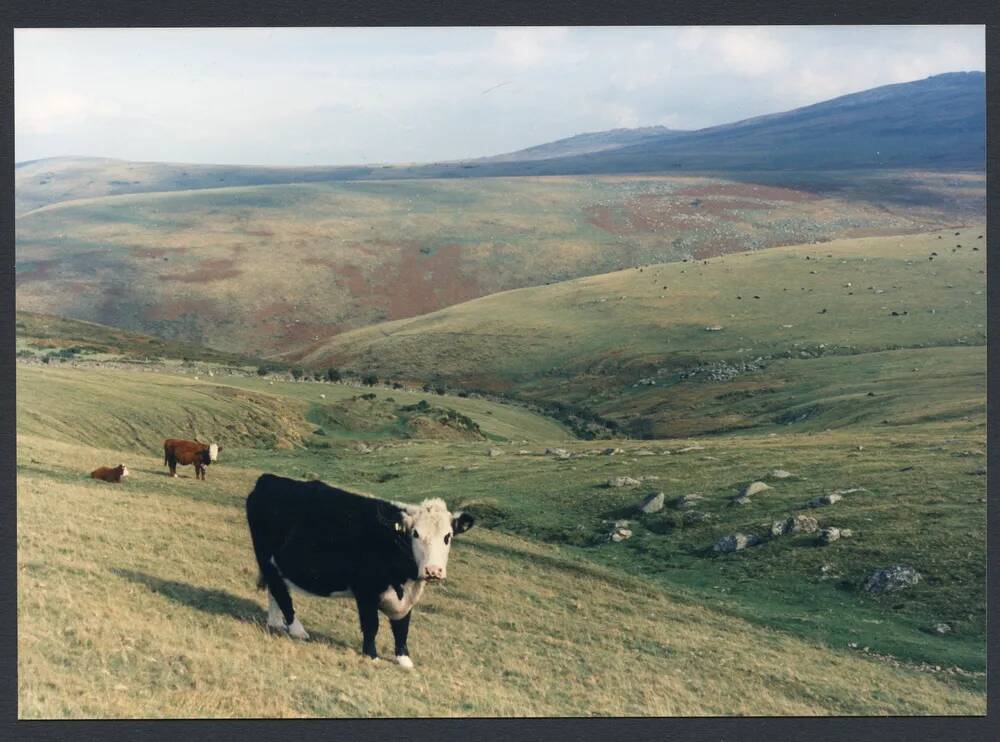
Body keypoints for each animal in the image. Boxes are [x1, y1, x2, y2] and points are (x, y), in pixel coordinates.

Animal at [244, 476, 474, 676]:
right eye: (415, 534)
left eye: (447, 536)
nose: (433, 570)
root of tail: (268, 479)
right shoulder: (366, 590)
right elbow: (371, 624)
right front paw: (372, 655)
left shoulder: (406, 598)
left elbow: (402, 627)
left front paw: (404, 659)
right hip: (266, 558)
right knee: (281, 593)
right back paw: (297, 630)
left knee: (276, 591)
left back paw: (275, 622)